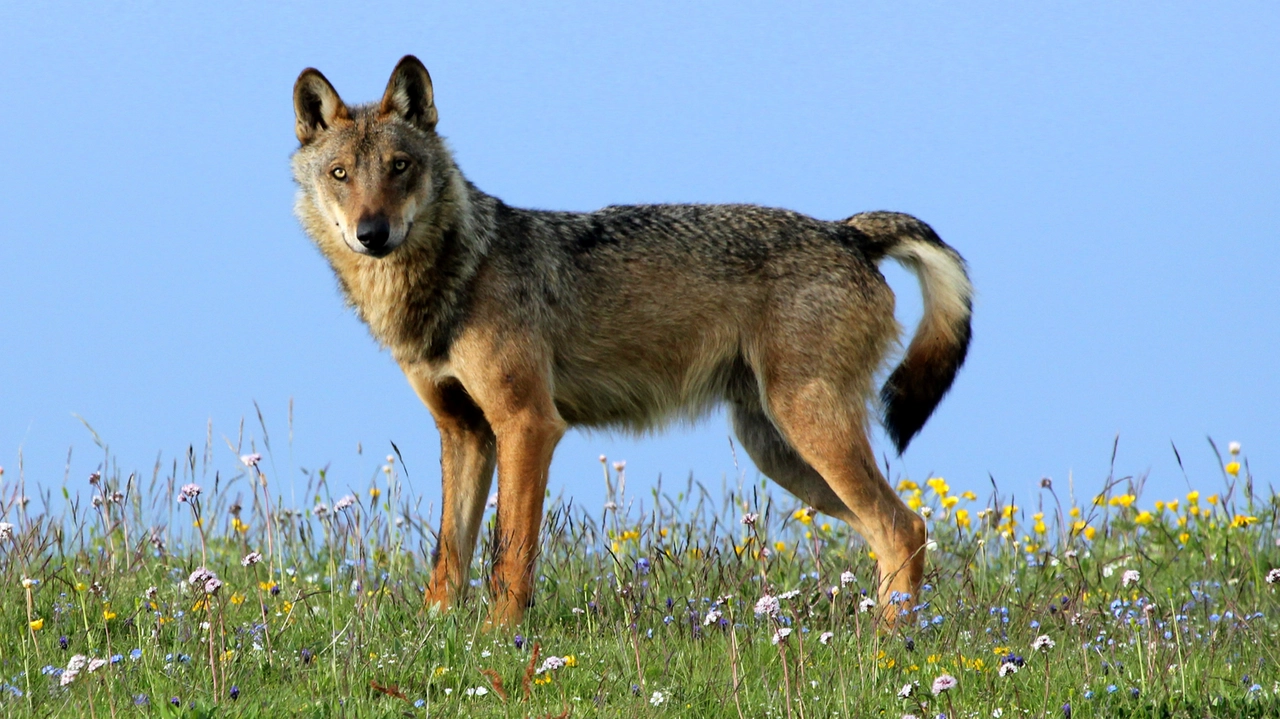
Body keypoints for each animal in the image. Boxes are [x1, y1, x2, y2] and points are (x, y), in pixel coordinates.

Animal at [293, 57, 967, 626]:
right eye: (340, 174)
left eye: (399, 167)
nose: (372, 233)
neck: (455, 275)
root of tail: (849, 232)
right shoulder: (464, 433)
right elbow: (448, 556)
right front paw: (434, 634)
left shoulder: (528, 424)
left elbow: (510, 555)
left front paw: (501, 638)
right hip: (780, 452)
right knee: (897, 531)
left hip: (808, 431)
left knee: (903, 527)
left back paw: (888, 652)